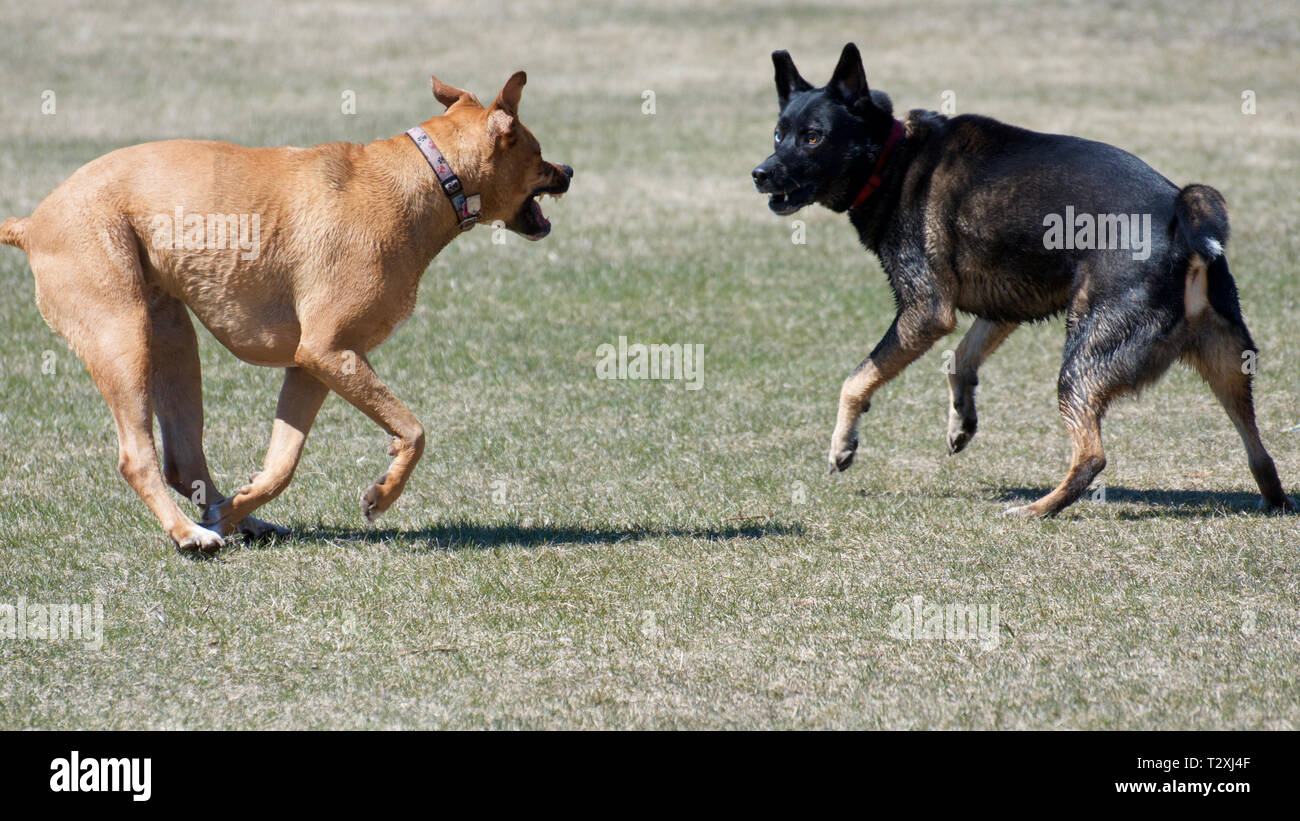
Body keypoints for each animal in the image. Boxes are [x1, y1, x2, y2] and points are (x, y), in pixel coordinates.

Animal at [1, 73, 569, 555]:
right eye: (538, 151)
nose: (568, 171)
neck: (431, 176)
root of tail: (32, 221)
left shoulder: (316, 363)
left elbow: (283, 463)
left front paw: (238, 507)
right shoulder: (330, 352)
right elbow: (414, 431)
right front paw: (382, 494)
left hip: (172, 336)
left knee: (184, 462)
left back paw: (232, 519)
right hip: (121, 337)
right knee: (137, 458)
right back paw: (188, 533)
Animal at [754, 43, 1289, 514]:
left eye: (813, 136)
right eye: (778, 134)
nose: (759, 173)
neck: (890, 159)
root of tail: (1183, 217)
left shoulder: (924, 312)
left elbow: (856, 378)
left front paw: (842, 446)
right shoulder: (1004, 303)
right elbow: (960, 360)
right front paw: (961, 421)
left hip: (1082, 362)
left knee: (1092, 456)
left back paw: (1038, 509)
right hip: (1227, 366)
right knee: (1261, 453)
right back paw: (1273, 500)